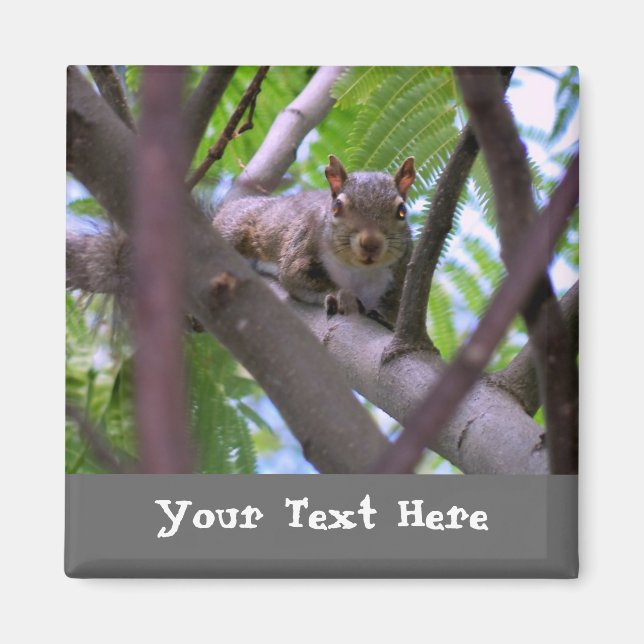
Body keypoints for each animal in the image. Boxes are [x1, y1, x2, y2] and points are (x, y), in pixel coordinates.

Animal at [212, 155, 416, 327]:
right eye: (337, 206)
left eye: (402, 210)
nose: (371, 244)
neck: (360, 270)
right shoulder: (302, 249)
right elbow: (296, 277)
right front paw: (338, 295)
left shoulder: (400, 273)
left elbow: (394, 308)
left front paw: (383, 317)